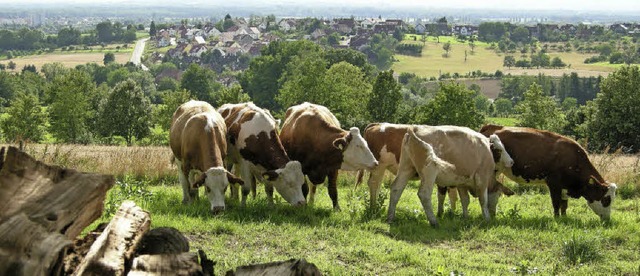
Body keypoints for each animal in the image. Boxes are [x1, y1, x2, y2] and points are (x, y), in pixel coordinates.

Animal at [360, 123, 516, 218]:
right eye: (499, 149)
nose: (511, 162)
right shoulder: (480, 178)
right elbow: (481, 200)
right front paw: (485, 217)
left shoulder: (460, 181)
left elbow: (461, 199)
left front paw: (459, 215)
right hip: (386, 167)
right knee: (375, 185)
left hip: (403, 168)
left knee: (393, 188)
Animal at [480, 125, 616, 220]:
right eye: (606, 200)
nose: (607, 219)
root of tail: (494, 126)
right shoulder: (554, 183)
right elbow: (556, 203)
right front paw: (556, 218)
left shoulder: (564, 187)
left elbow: (564, 204)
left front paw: (564, 218)